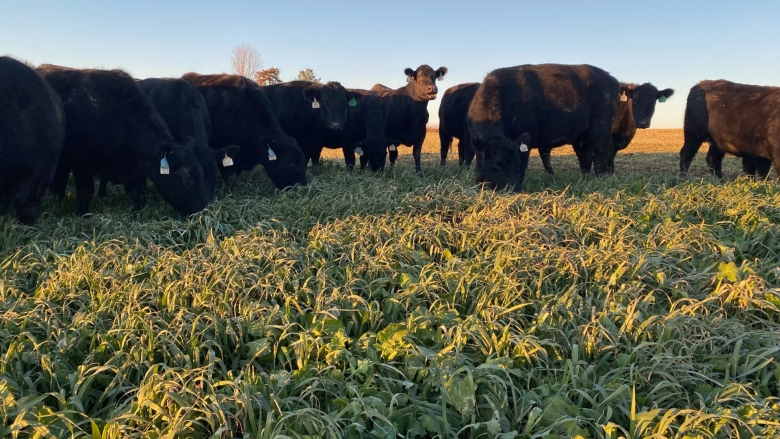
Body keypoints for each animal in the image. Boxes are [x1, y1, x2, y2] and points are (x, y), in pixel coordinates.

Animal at [37, 65, 217, 216]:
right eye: (189, 178)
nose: (203, 207)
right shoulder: (81, 162)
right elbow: (85, 191)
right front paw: (82, 214)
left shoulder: (134, 166)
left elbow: (134, 191)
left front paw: (137, 212)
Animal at [468, 64, 620, 191]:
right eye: (496, 166)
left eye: (516, 164)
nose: (510, 189)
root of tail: (609, 78)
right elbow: (479, 164)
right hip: (582, 135)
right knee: (585, 154)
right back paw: (585, 178)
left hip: (601, 128)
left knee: (601, 153)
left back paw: (602, 178)